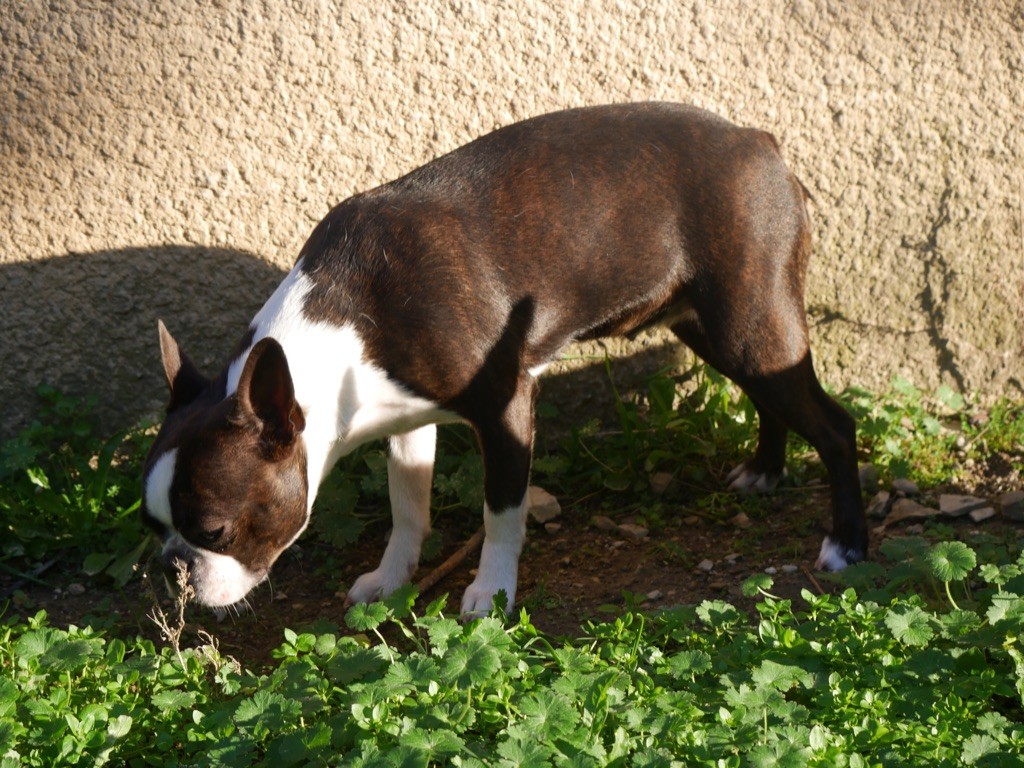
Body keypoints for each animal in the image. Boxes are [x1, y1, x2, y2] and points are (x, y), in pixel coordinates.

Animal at [140, 103, 868, 618]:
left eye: (215, 529)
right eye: (153, 525)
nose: (173, 570)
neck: (344, 321)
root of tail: (758, 141)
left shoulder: (506, 408)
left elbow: (500, 513)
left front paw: (489, 593)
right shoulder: (406, 421)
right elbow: (408, 507)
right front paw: (391, 577)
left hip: (749, 320)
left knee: (833, 425)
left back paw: (848, 543)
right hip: (720, 329)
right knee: (769, 396)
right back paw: (765, 470)